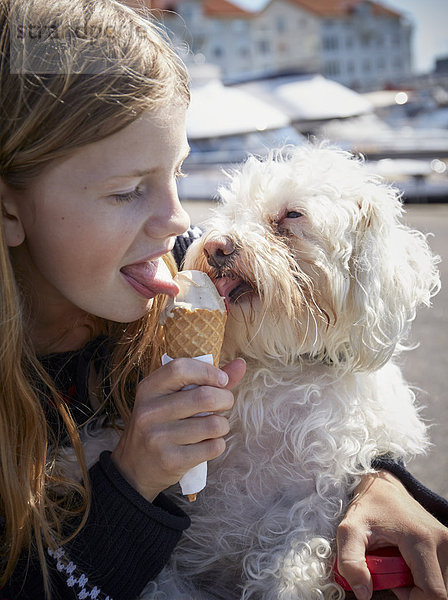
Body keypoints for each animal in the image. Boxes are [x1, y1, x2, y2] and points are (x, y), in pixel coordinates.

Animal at [143, 145, 440, 600]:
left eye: (292, 215)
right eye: (231, 210)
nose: (216, 246)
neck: (282, 365)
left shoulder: (314, 502)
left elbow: (290, 568)